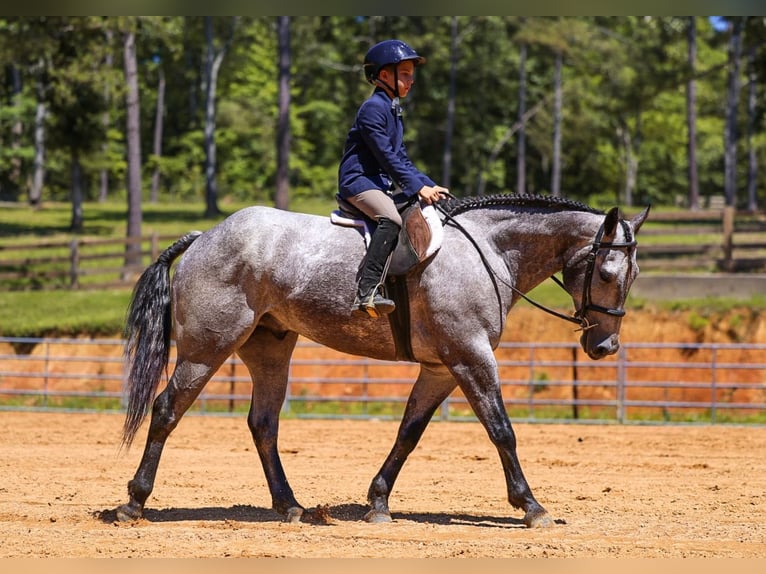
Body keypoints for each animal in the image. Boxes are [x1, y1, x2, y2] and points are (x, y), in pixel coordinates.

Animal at [115, 193, 649, 528]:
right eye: (606, 273)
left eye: (634, 274)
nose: (606, 348)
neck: (489, 251)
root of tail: (205, 236)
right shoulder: (471, 357)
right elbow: (502, 431)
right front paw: (532, 507)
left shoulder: (440, 369)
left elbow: (408, 434)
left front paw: (378, 502)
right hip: (206, 350)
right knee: (166, 411)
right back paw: (134, 502)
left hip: (270, 350)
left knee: (263, 424)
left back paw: (289, 506)